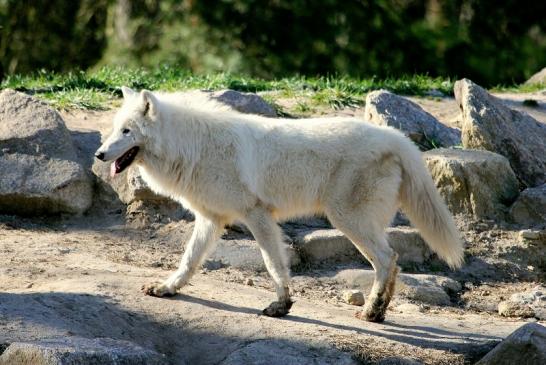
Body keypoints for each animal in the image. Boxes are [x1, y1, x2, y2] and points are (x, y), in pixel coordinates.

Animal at [95, 86, 462, 322]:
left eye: (127, 131)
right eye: (113, 129)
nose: (99, 154)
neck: (193, 147)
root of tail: (396, 138)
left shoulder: (257, 214)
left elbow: (273, 264)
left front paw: (281, 305)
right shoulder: (211, 219)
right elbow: (188, 260)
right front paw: (167, 288)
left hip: (346, 220)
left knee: (388, 258)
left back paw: (372, 311)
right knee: (392, 260)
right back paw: (378, 311)